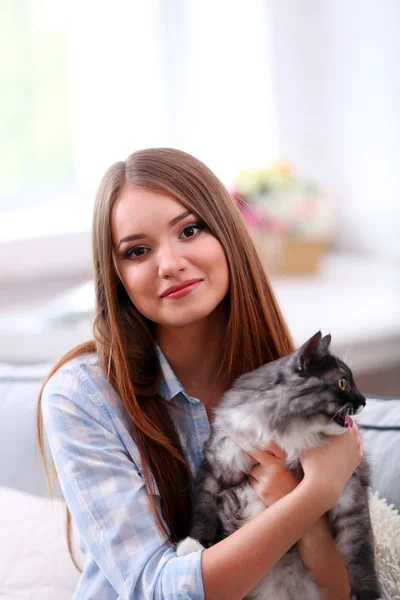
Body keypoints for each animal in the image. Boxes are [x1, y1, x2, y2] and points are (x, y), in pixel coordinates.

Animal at [177, 332, 380, 600]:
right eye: (343, 383)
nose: (364, 401)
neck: (290, 432)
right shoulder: (219, 461)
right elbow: (204, 510)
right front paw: (192, 545)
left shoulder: (349, 492)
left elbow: (360, 554)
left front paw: (368, 593)